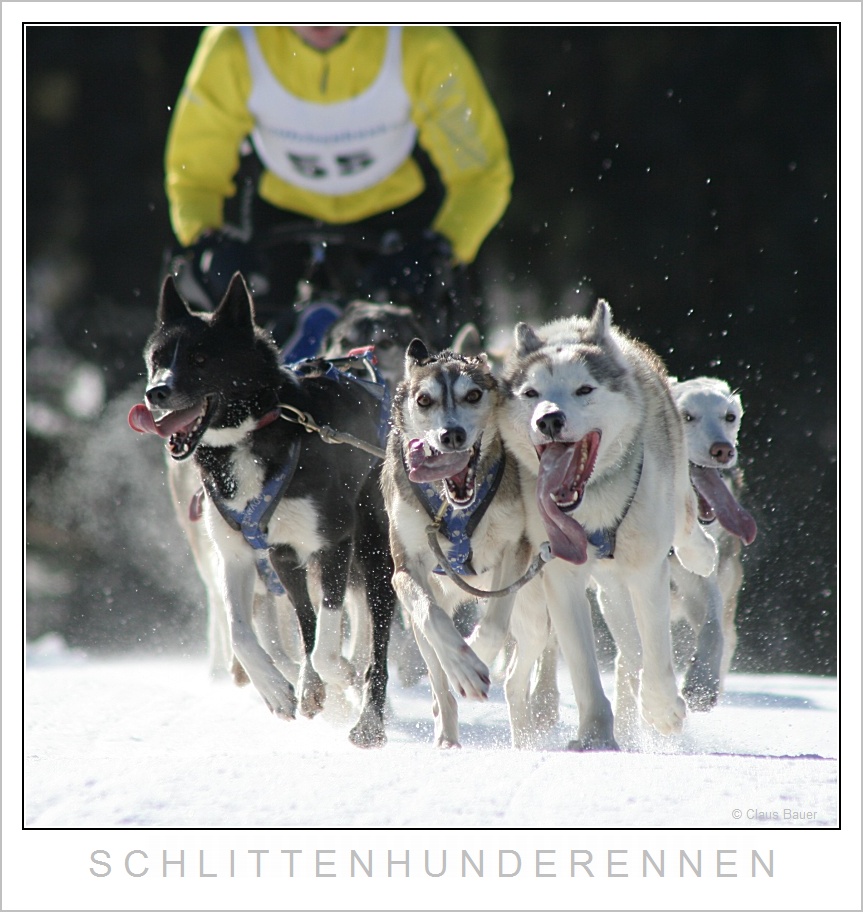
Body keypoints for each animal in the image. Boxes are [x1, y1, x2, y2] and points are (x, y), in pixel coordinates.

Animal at [128, 274, 394, 744]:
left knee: (374, 642)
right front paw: (277, 690)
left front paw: (338, 674)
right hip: (287, 562)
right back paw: (311, 687)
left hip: (374, 553)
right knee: (304, 623)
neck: (252, 434)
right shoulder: (242, 552)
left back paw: (368, 721)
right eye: (157, 358)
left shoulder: (333, 542)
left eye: (200, 357)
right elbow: (243, 629)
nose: (155, 392)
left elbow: (327, 640)